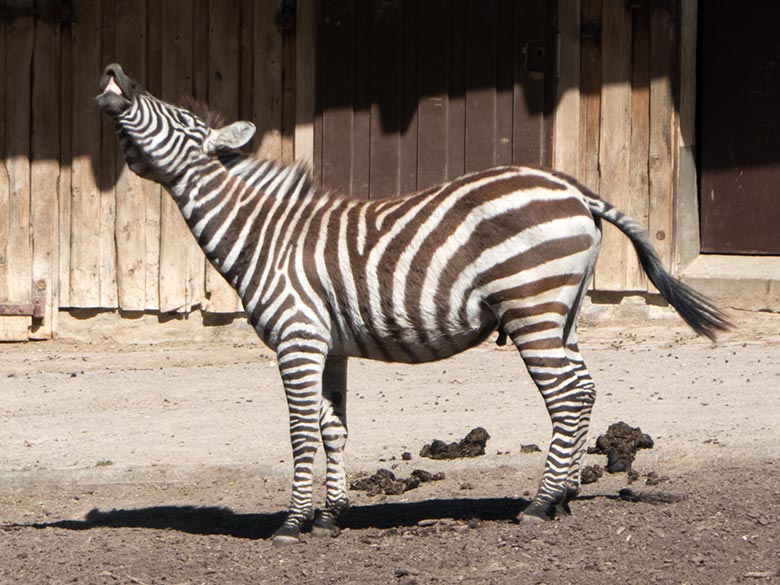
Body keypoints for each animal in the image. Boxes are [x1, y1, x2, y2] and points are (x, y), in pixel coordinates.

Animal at [97, 62, 732, 544]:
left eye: (179, 119)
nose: (114, 72)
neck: (266, 235)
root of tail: (577, 191)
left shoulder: (297, 338)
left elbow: (300, 432)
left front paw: (293, 523)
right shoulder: (329, 346)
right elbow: (332, 429)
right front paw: (329, 517)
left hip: (530, 306)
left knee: (567, 394)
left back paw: (540, 502)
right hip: (563, 311)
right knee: (584, 388)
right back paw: (566, 495)